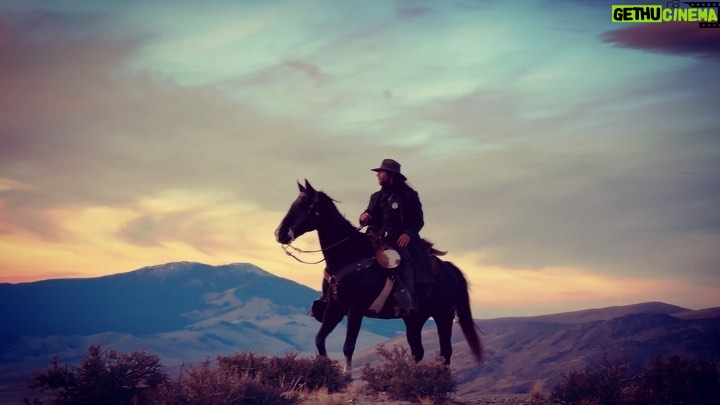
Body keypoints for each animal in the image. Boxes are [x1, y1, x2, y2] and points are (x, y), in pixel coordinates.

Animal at [276, 181, 484, 372]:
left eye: (305, 206)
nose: (279, 234)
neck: (349, 254)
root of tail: (449, 268)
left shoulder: (355, 309)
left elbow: (348, 346)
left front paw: (347, 377)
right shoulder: (335, 307)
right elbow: (319, 339)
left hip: (443, 315)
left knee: (445, 352)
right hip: (414, 319)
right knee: (418, 351)